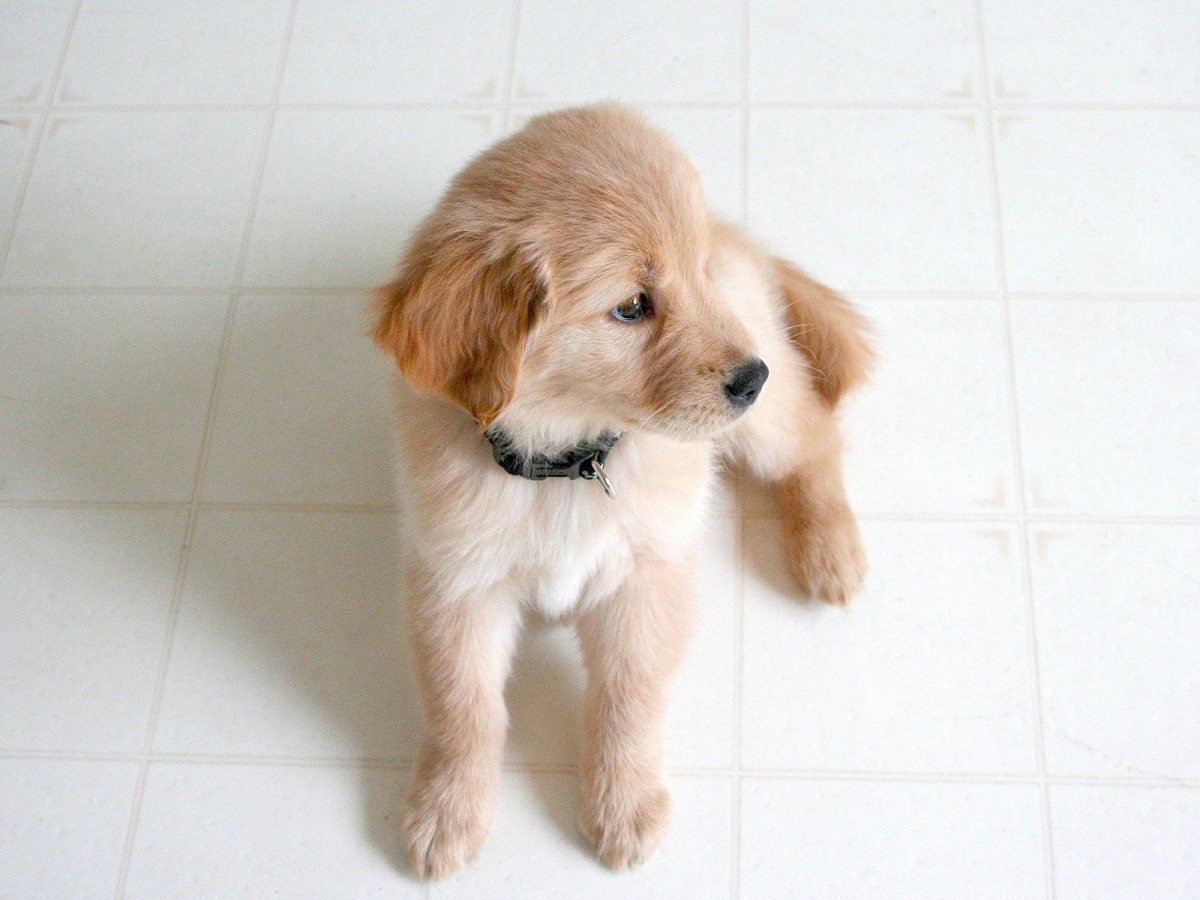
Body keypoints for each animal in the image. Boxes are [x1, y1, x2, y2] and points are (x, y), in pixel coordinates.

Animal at [372, 103, 873, 883]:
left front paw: (624, 804)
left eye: (696, 273)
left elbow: (625, 699)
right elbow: (463, 707)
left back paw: (830, 551)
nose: (750, 378)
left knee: (814, 438)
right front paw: (446, 810)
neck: (564, 462)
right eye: (633, 306)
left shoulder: (645, 577)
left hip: (765, 418)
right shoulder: (454, 581)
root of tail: (737, 236)